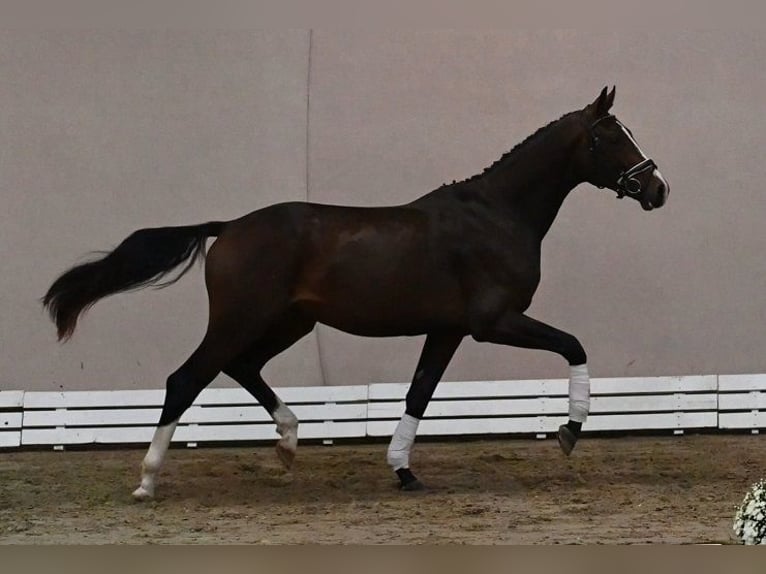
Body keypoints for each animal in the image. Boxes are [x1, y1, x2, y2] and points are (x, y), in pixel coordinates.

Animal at [43, 87, 669, 498]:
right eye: (609, 135)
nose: (658, 189)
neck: (497, 215)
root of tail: (229, 227)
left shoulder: (447, 329)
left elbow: (419, 393)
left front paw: (404, 471)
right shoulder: (494, 322)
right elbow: (574, 345)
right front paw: (569, 431)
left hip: (287, 323)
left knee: (241, 367)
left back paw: (288, 442)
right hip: (240, 319)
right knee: (186, 379)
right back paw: (147, 482)